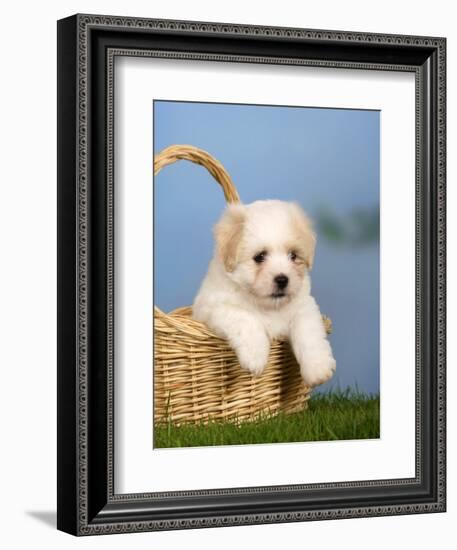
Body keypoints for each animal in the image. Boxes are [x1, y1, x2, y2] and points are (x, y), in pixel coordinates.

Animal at [192, 199, 334, 388]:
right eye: (259, 257)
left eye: (293, 255)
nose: (282, 279)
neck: (268, 306)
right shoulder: (215, 307)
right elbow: (246, 319)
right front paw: (255, 358)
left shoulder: (304, 306)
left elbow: (309, 332)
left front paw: (318, 368)